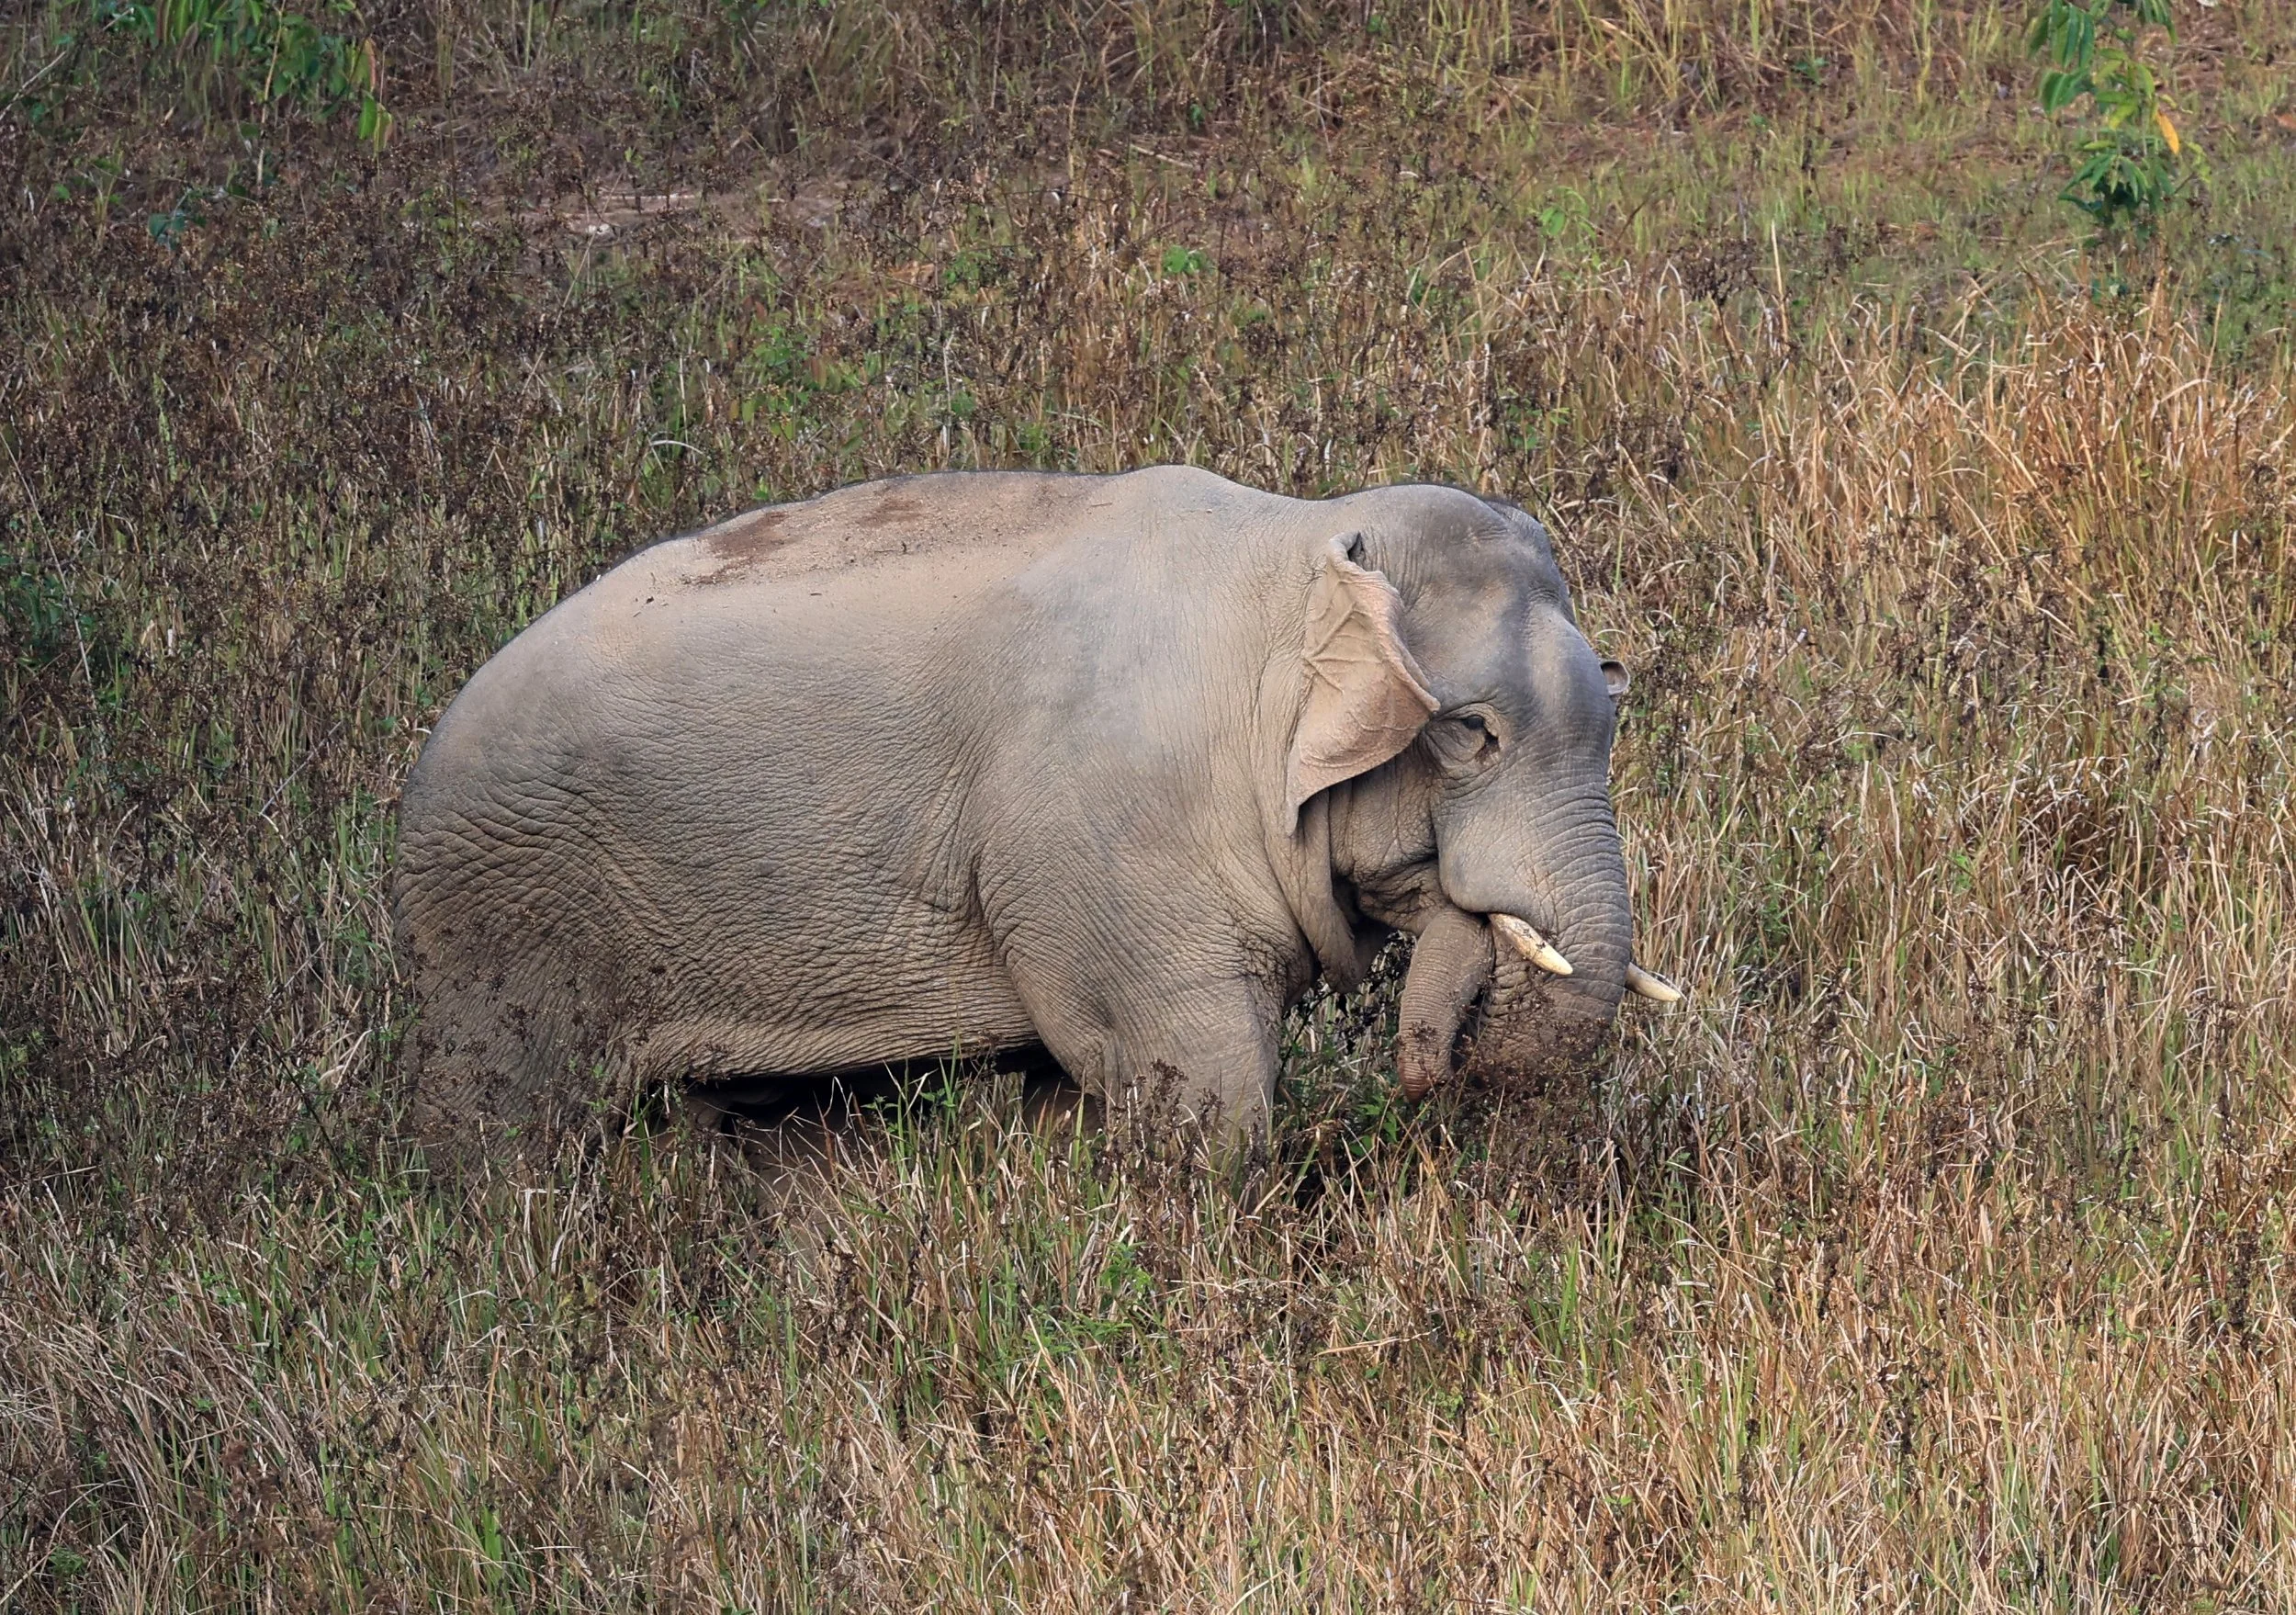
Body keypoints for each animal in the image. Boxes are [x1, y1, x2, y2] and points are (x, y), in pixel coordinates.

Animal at [393, 466, 1678, 1161]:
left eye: (1612, 706)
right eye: (1470, 733)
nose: (1429, 1084)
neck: (1295, 547)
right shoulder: (1109, 848)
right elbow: (1199, 1081)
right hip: (504, 933)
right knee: (511, 1138)